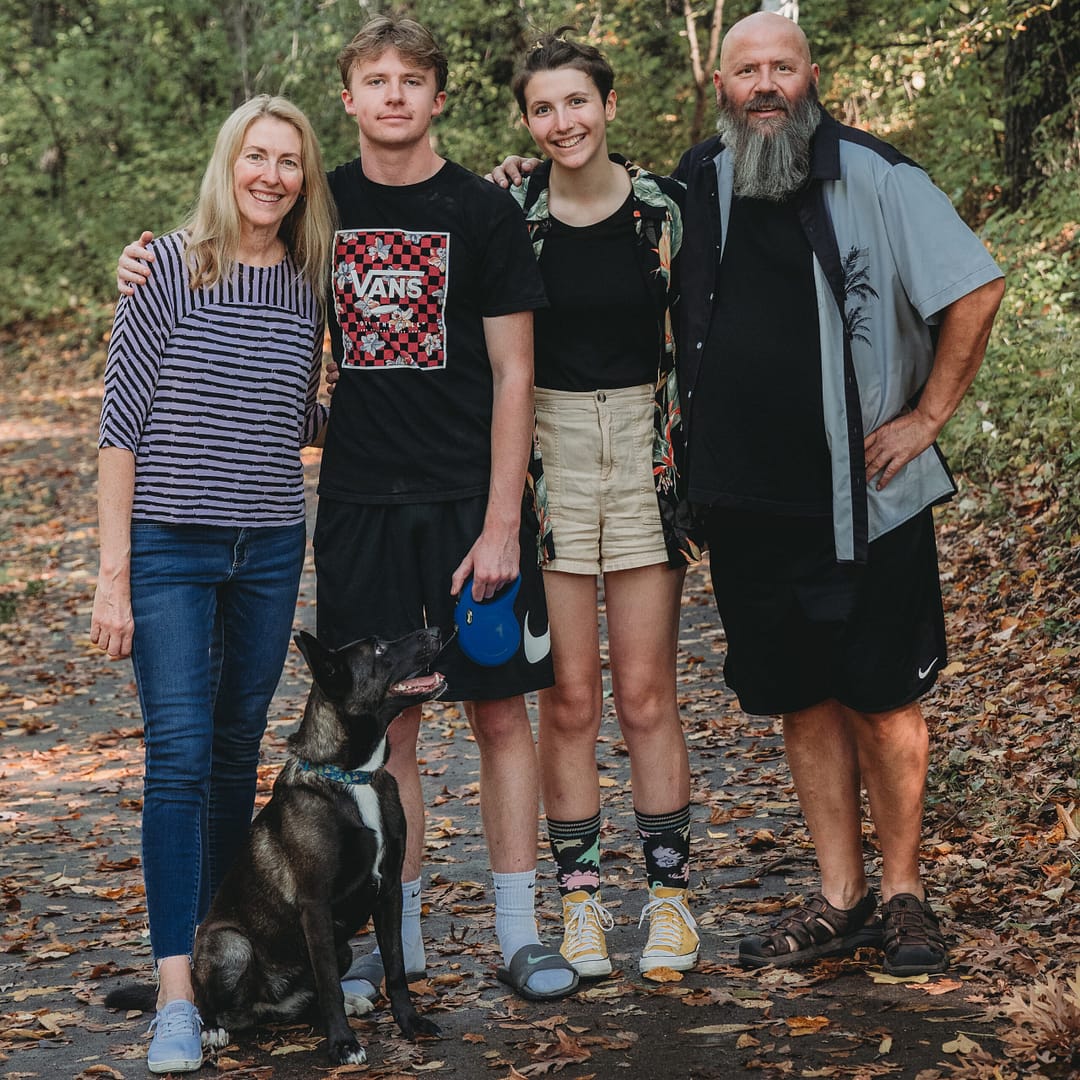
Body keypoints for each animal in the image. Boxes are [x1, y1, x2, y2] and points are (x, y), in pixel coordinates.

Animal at [107, 626, 444, 1062]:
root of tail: (263, 1007)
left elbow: (397, 969)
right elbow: (331, 987)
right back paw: (210, 1028)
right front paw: (343, 1043)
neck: (351, 777)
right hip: (231, 945)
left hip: (342, 948)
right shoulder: (316, 907)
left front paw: (409, 1022)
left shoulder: (387, 893)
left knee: (311, 998)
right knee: (207, 994)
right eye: (379, 649)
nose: (435, 630)